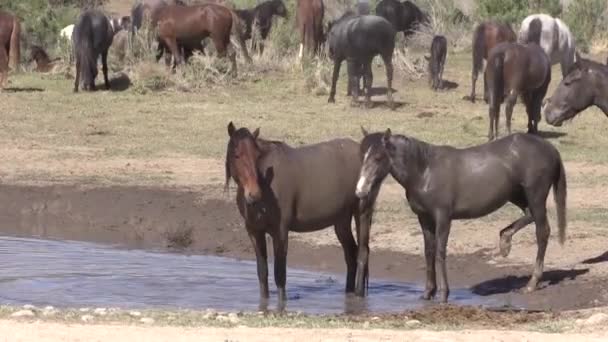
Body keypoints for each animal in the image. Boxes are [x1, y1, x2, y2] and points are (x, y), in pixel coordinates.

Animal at [224, 122, 370, 310]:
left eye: (257, 156)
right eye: (237, 155)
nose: (254, 194)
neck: (267, 185)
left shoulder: (280, 231)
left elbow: (280, 274)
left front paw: (281, 307)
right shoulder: (254, 232)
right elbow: (262, 273)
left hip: (362, 212)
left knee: (362, 253)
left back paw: (358, 297)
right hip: (341, 221)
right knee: (351, 254)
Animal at [354, 130, 568, 304]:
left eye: (378, 157)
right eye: (362, 156)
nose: (360, 190)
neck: (424, 172)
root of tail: (551, 149)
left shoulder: (443, 217)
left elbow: (440, 252)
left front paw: (443, 294)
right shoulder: (424, 218)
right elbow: (428, 252)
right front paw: (427, 293)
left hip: (535, 195)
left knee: (542, 232)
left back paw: (532, 283)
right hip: (516, 194)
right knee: (529, 216)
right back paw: (505, 241)